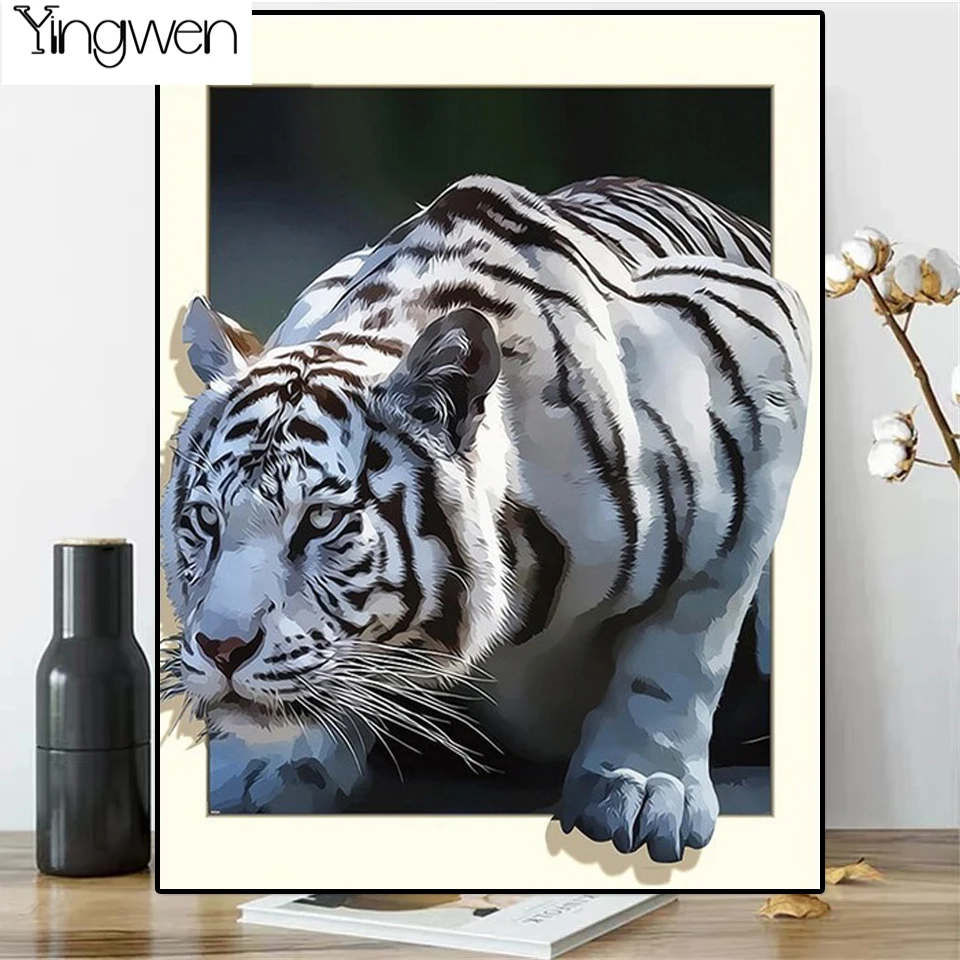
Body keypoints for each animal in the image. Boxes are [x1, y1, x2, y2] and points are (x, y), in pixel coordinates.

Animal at [160, 174, 810, 862]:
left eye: (319, 522)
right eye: (206, 520)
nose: (222, 649)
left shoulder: (762, 366)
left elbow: (684, 642)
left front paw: (641, 786)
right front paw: (269, 760)